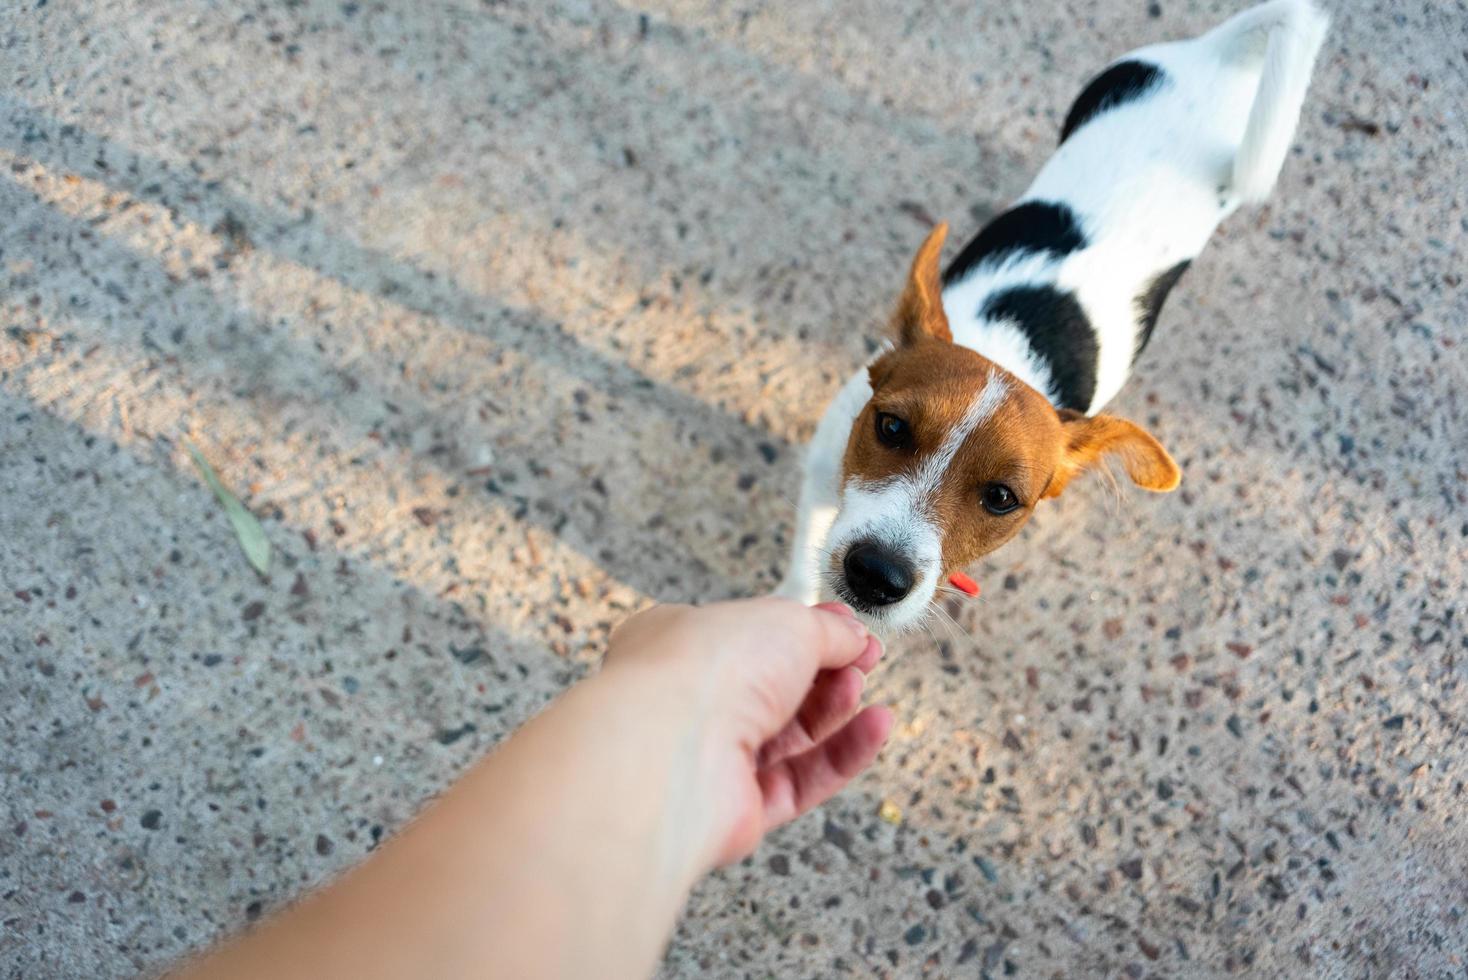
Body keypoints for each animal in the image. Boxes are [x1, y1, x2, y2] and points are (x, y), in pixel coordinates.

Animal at [780, 0, 1332, 630]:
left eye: (1001, 498)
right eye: (891, 427)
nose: (875, 576)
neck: (1005, 347)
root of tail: (1219, 55)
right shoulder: (821, 475)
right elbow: (802, 568)